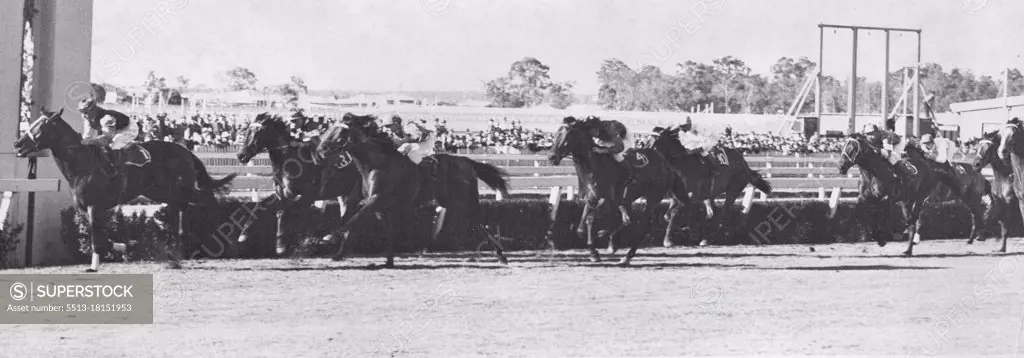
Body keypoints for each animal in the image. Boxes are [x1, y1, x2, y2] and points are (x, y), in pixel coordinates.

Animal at [12, 108, 235, 272]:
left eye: (41, 126)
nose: (17, 144)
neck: (82, 165)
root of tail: (186, 151)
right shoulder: (88, 208)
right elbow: (101, 238)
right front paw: (127, 246)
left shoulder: (94, 206)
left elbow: (97, 239)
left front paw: (95, 266)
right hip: (162, 191)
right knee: (183, 208)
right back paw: (177, 253)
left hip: (180, 188)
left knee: (204, 198)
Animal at [234, 113, 362, 255]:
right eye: (247, 131)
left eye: (258, 132)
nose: (241, 155)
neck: (289, 160)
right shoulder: (282, 194)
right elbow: (259, 206)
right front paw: (243, 235)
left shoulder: (307, 196)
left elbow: (284, 211)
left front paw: (281, 245)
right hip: (343, 192)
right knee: (346, 212)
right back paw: (332, 238)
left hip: (355, 190)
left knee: (351, 213)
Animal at [544, 116, 688, 263]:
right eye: (556, 134)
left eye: (568, 135)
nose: (551, 157)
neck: (593, 168)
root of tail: (666, 164)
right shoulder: (591, 200)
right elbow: (580, 229)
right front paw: (594, 249)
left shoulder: (608, 203)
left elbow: (590, 219)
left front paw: (595, 252)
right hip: (628, 199)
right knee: (628, 219)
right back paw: (613, 244)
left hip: (653, 197)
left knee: (645, 225)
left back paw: (627, 256)